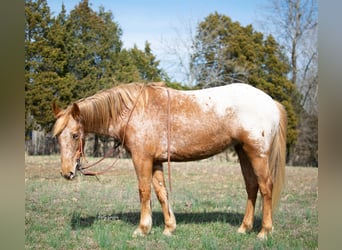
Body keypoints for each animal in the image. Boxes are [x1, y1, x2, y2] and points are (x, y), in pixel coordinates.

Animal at [52, 81, 288, 238]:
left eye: (75, 135)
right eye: (57, 137)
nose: (67, 172)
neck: (132, 111)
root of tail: (271, 102)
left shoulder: (142, 159)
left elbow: (144, 191)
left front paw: (142, 229)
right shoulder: (155, 161)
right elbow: (161, 192)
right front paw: (168, 227)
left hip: (257, 154)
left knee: (265, 187)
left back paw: (264, 232)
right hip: (243, 152)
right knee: (252, 187)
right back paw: (244, 228)